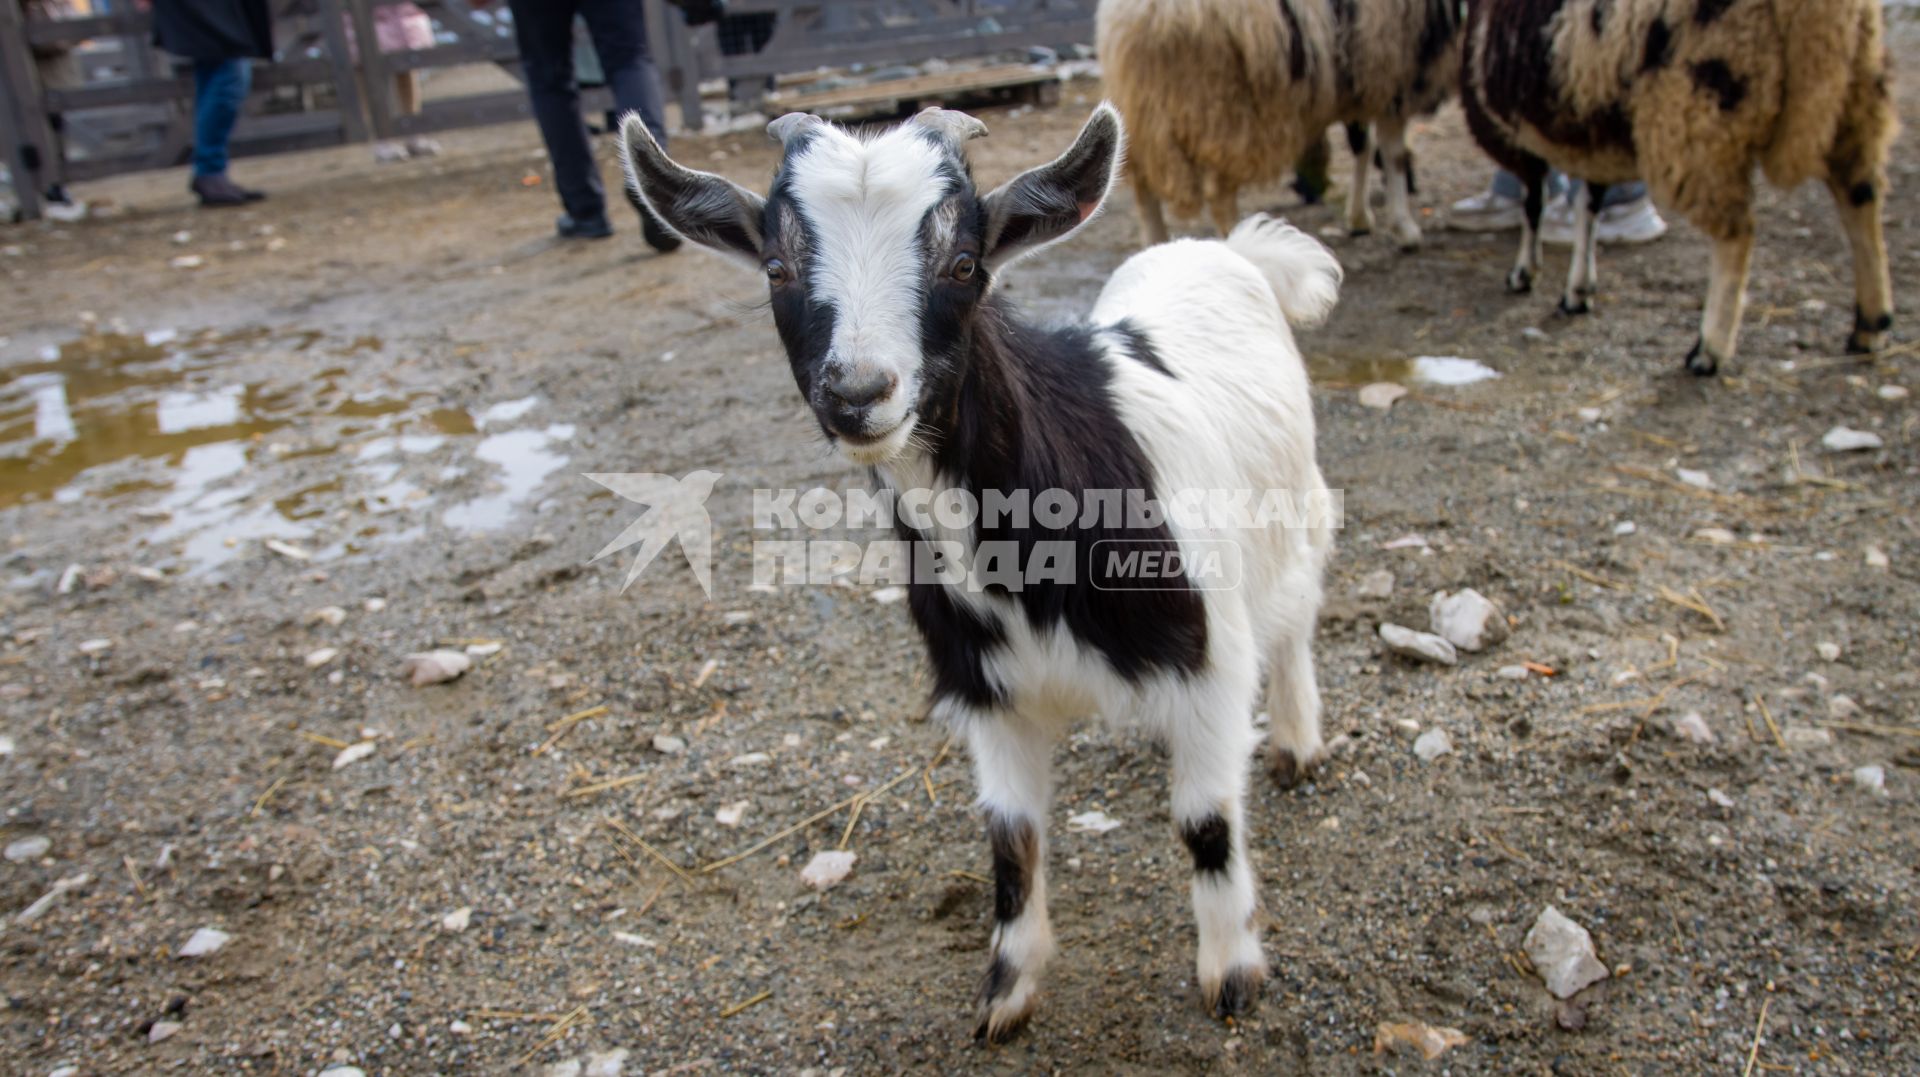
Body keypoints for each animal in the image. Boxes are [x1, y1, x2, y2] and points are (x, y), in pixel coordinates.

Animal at [622, 105, 1344, 1036]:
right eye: (777, 268)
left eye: (964, 263)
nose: (857, 393)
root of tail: (1231, 250)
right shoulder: (987, 688)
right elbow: (1011, 838)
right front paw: (1008, 986)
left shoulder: (1207, 656)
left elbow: (1205, 821)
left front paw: (1230, 970)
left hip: (1297, 514)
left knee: (1293, 621)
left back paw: (1295, 738)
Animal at [1090, 0, 1459, 247]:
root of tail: (1142, 16)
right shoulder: (1392, 70)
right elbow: (1393, 154)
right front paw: (1405, 228)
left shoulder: (1364, 76)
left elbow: (1363, 145)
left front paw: (1359, 218)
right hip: (1222, 109)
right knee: (1218, 195)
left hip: (1144, 107)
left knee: (1143, 184)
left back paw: (1156, 243)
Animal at [1466, 0, 1889, 374]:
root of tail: (1819, 12)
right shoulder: (1591, 112)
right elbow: (1589, 201)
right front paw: (1578, 289)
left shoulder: (1508, 120)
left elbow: (1534, 199)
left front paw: (1525, 272)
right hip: (1855, 93)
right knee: (1859, 197)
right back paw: (1871, 324)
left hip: (1696, 106)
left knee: (1737, 232)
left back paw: (1709, 348)